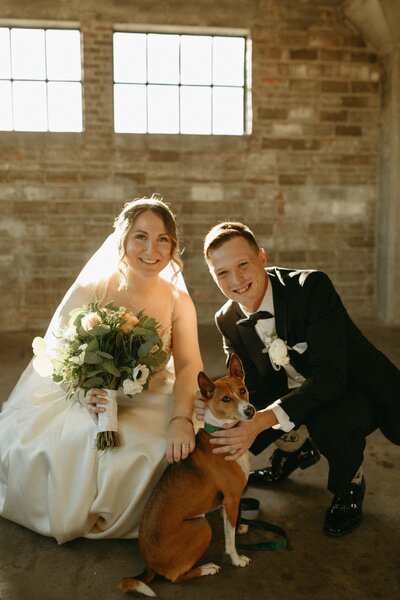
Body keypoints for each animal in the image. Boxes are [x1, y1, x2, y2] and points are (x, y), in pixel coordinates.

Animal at [119, 354, 256, 592]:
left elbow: (230, 525)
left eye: (242, 390)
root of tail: (149, 565)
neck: (219, 434)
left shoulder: (229, 502)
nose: (250, 411)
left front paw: (240, 527)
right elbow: (229, 542)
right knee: (176, 577)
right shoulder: (231, 498)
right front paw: (237, 559)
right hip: (201, 527)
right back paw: (207, 568)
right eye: (226, 399)